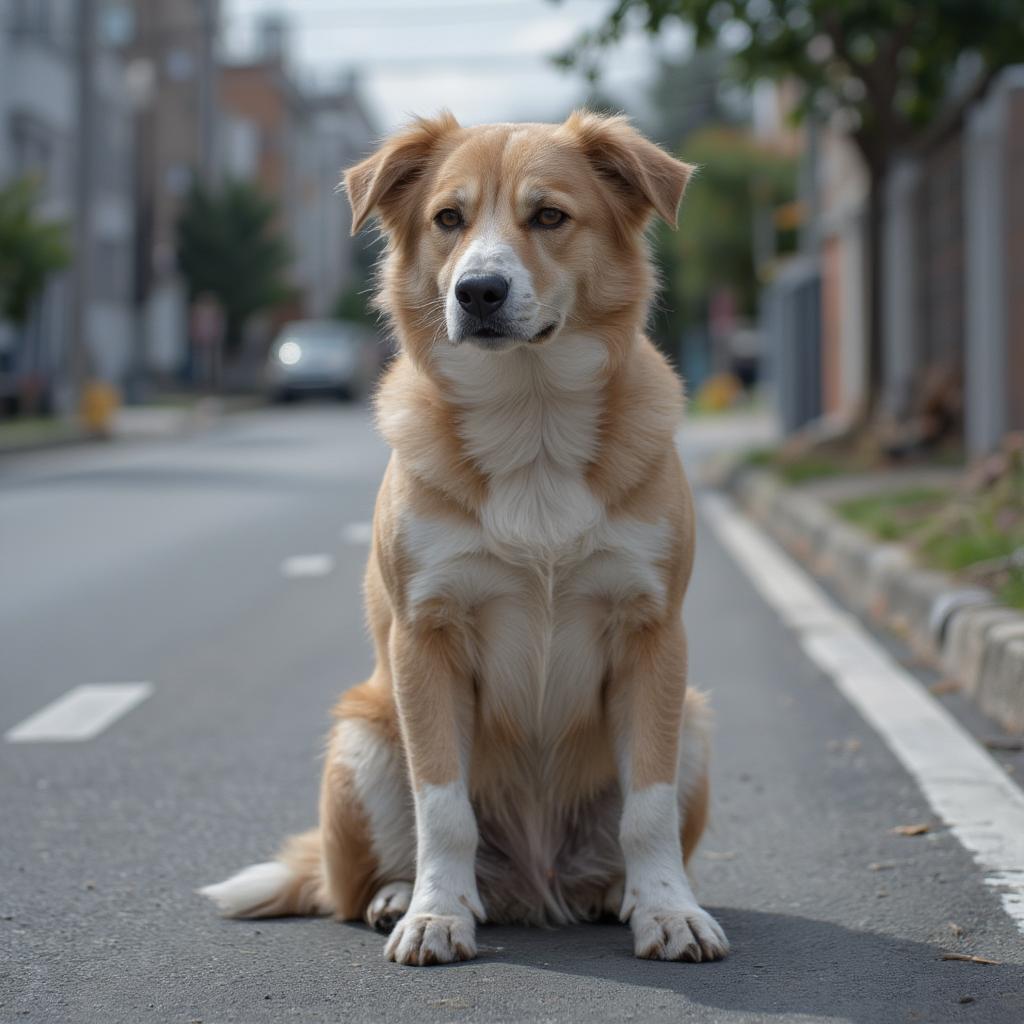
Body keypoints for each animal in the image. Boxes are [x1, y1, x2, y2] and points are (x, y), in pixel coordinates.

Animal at [199, 112, 729, 966]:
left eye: (548, 216)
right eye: (448, 218)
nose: (478, 291)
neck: (531, 415)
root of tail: (536, 886)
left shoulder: (654, 635)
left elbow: (647, 808)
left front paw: (668, 910)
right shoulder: (428, 636)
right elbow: (442, 806)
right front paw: (437, 915)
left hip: (698, 722)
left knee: (619, 839)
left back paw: (613, 891)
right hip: (362, 737)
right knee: (355, 882)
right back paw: (396, 895)